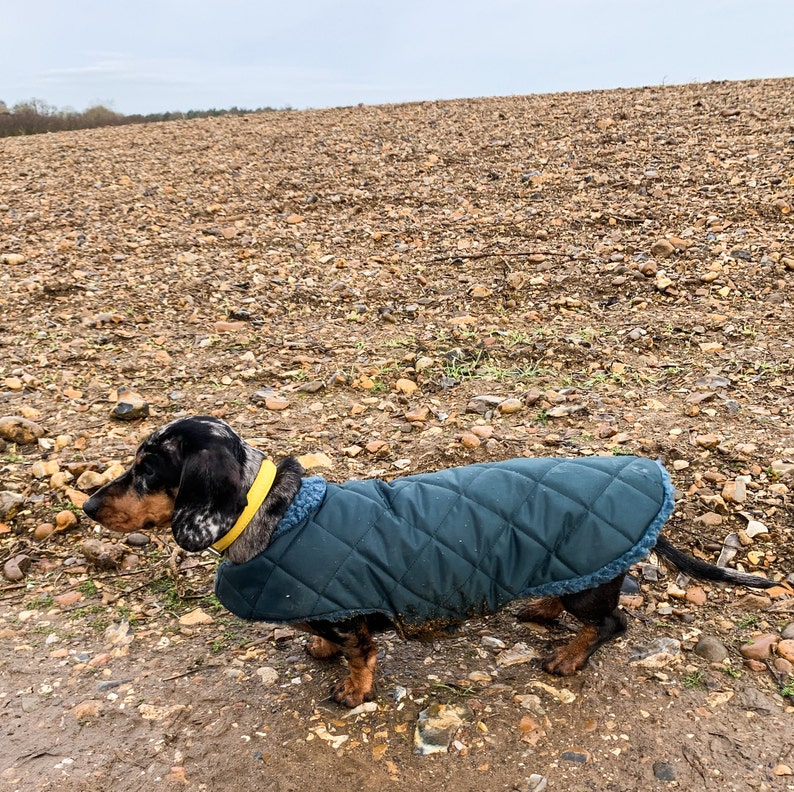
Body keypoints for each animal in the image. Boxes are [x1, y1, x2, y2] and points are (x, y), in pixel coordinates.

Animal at [83, 414, 776, 704]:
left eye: (148, 470)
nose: (87, 505)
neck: (272, 517)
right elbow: (324, 638)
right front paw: (317, 647)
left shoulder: (355, 611)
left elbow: (360, 654)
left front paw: (350, 690)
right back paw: (539, 610)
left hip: (594, 584)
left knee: (611, 623)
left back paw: (568, 657)